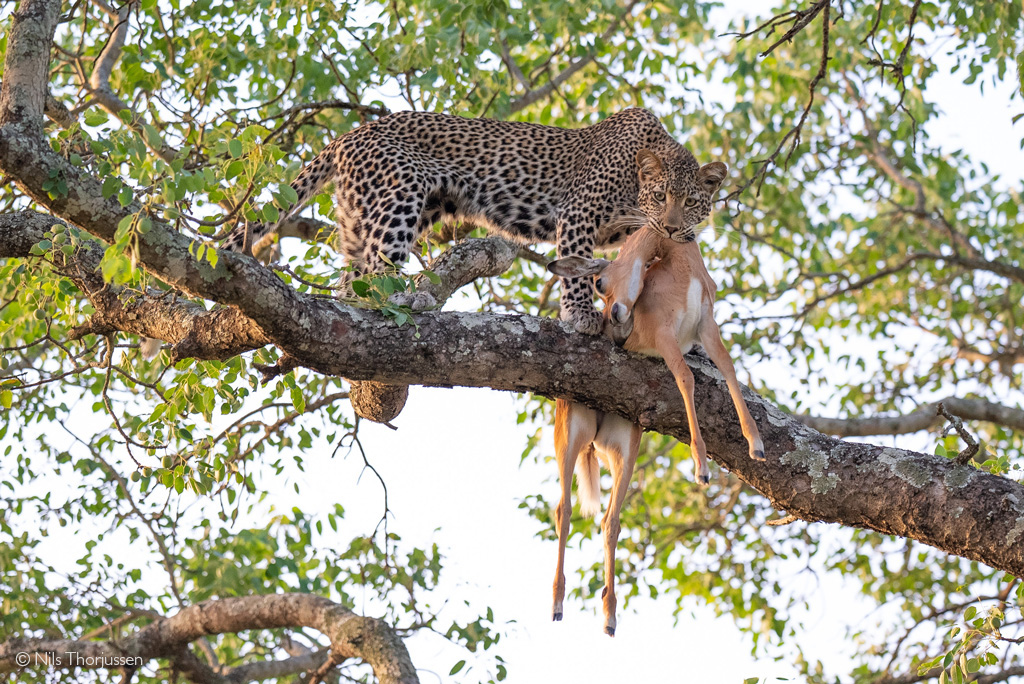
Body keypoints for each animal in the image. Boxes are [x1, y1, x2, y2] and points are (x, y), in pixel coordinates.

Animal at [224, 107, 729, 333]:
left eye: (690, 201)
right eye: (661, 195)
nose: (671, 227)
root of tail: (350, 134)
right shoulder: (578, 213)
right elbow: (576, 270)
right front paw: (580, 315)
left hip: (369, 214)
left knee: (350, 282)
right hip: (400, 198)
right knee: (374, 276)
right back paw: (402, 302)